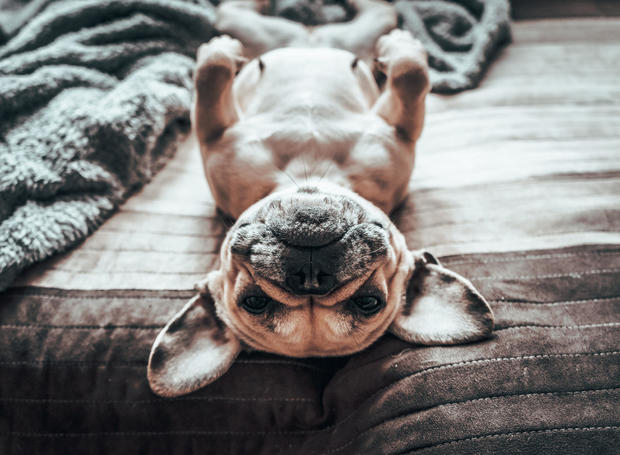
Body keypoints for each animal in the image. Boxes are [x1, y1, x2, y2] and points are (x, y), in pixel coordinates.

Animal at [147, 0, 494, 400]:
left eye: (369, 302)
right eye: (254, 302)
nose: (310, 277)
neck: (310, 171)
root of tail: (310, 37)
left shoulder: (398, 131)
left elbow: (411, 76)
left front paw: (403, 50)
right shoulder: (216, 135)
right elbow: (210, 77)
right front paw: (220, 52)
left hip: (355, 34)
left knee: (377, 13)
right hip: (252, 28)